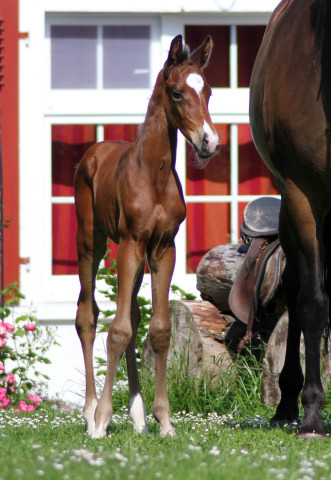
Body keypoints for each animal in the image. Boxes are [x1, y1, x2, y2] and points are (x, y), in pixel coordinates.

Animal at [74, 34, 222, 438]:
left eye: (209, 91)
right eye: (176, 92)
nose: (210, 142)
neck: (153, 176)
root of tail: (95, 150)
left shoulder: (162, 248)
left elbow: (158, 330)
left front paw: (163, 420)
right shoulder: (130, 243)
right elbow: (118, 329)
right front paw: (102, 420)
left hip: (138, 258)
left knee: (134, 313)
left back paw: (137, 415)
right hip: (91, 242)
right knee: (88, 315)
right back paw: (89, 410)